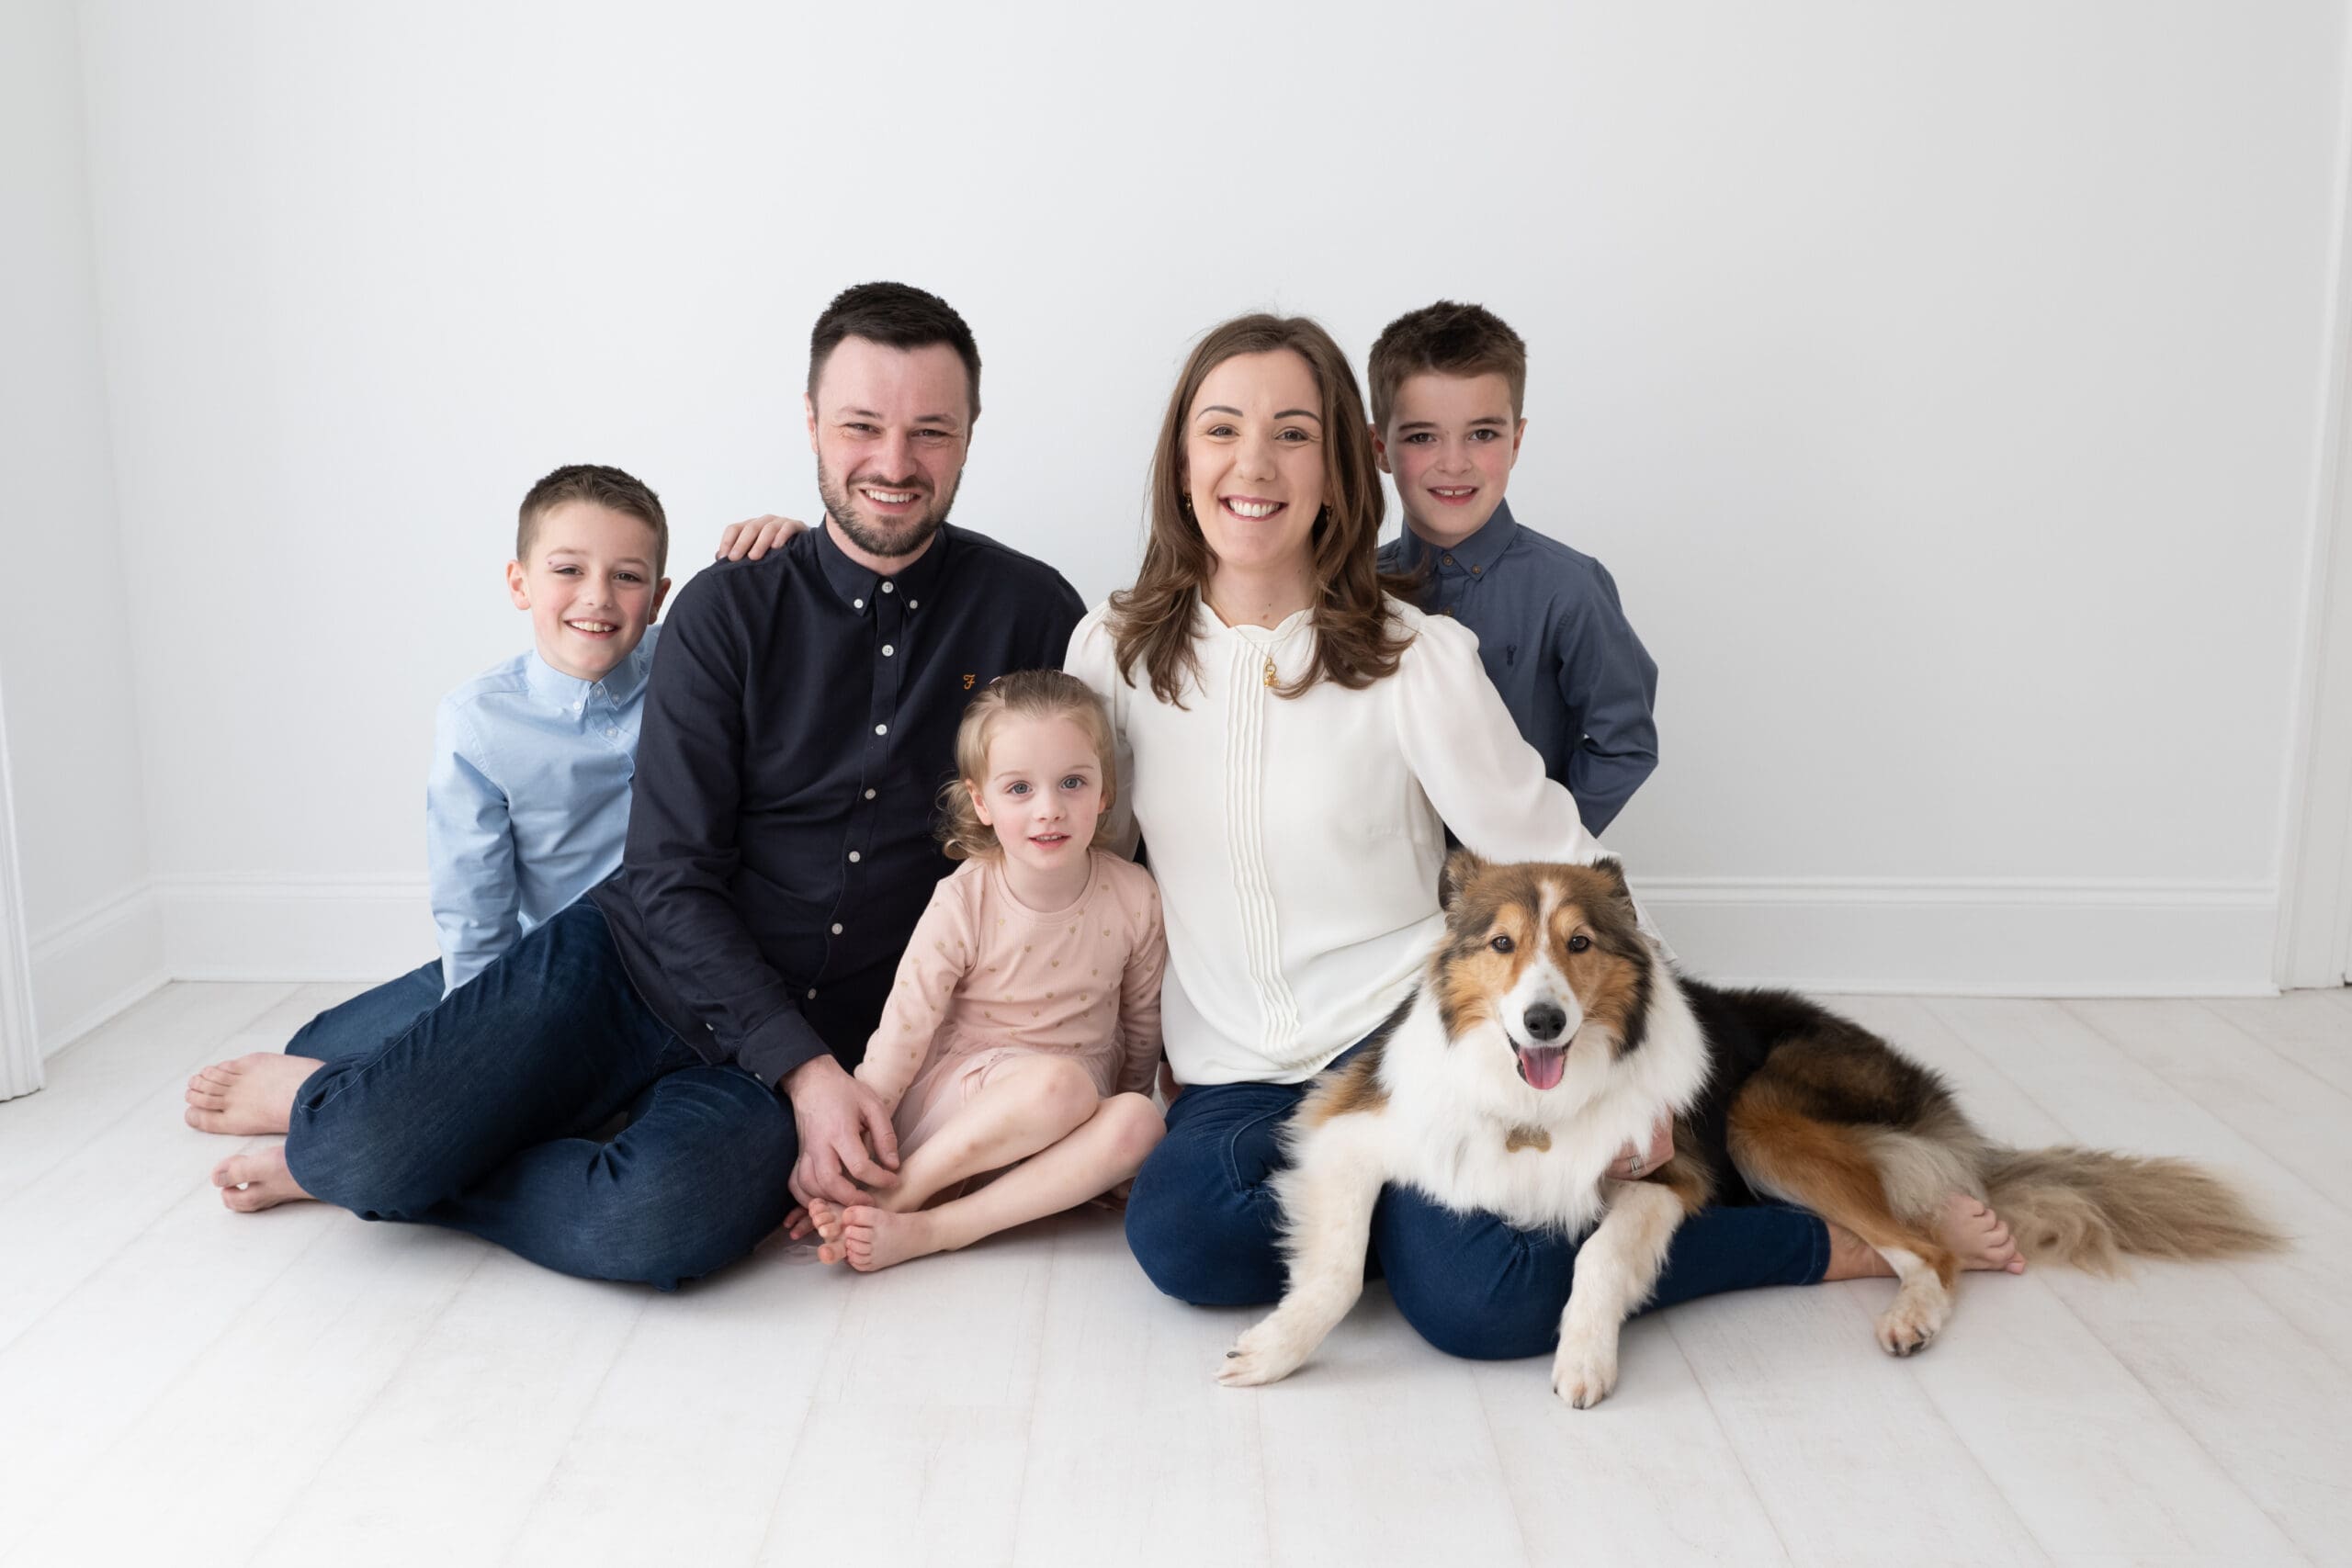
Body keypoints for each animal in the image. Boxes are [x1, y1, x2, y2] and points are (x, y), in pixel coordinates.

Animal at [1223, 860, 2286, 1410]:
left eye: (1579, 944)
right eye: (1501, 945)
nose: (1544, 1023)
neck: (1535, 1108)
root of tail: (1927, 1097)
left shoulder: (1667, 1172)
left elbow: (1598, 1260)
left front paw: (1584, 1358)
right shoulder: (1351, 1135)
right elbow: (1334, 1269)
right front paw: (1275, 1349)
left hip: (1758, 1117)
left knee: (1928, 1245)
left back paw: (1918, 1301)